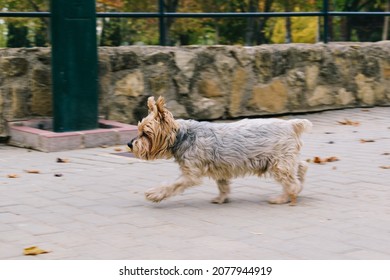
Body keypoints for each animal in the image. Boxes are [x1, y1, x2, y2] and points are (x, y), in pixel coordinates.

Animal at [128, 96, 310, 206]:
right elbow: (223, 185)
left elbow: (173, 184)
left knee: (291, 182)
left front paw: (154, 194)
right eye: (139, 130)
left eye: (146, 133)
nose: (130, 144)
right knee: (301, 166)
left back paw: (283, 197)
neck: (182, 136)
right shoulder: (221, 169)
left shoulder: (191, 174)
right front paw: (221, 198)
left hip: (279, 163)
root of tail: (291, 124)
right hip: (285, 159)